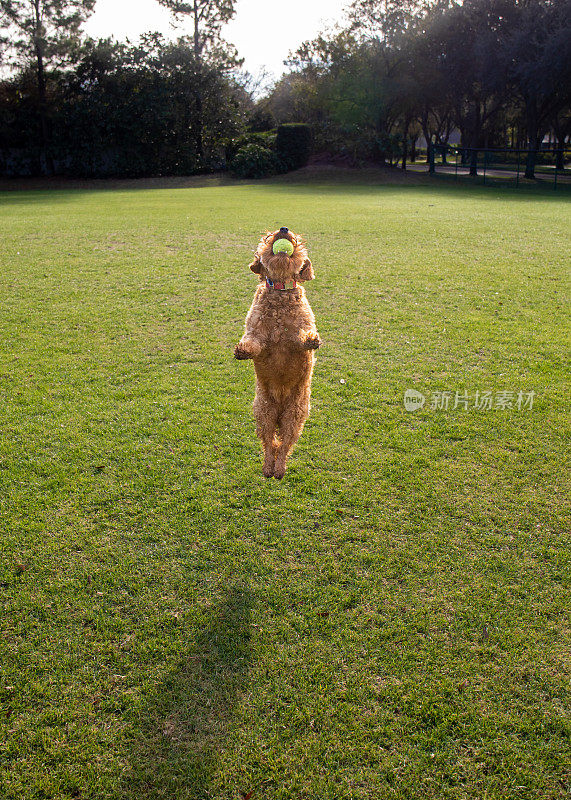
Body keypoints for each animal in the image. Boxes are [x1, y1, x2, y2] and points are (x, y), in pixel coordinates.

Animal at [233, 225, 322, 478]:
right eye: (268, 235)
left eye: (297, 238)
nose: (283, 229)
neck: (281, 292)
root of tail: (281, 409)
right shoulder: (258, 334)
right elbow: (253, 343)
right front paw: (242, 350)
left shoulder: (298, 337)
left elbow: (303, 337)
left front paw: (312, 339)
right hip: (264, 411)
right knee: (269, 443)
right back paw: (268, 467)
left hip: (295, 415)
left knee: (285, 445)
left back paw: (279, 468)